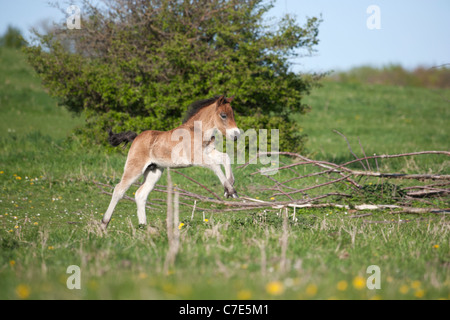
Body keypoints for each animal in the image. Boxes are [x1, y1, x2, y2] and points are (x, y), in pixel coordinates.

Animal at [101, 95, 241, 230]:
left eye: (232, 114)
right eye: (223, 115)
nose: (236, 135)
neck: (197, 132)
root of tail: (136, 138)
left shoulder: (209, 152)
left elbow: (225, 157)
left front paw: (229, 187)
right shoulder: (196, 157)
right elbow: (215, 166)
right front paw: (230, 190)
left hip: (154, 171)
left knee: (140, 194)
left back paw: (143, 227)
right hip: (135, 168)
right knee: (119, 190)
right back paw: (104, 224)